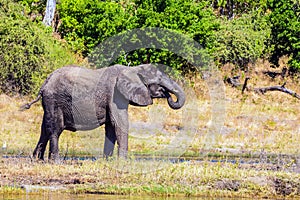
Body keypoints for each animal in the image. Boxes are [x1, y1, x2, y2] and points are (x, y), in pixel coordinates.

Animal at [21, 64, 185, 161]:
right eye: (159, 80)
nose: (167, 94)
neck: (132, 69)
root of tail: (45, 83)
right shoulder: (115, 95)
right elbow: (119, 123)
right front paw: (122, 162)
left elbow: (111, 127)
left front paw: (107, 161)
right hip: (55, 100)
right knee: (55, 129)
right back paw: (55, 161)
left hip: (49, 102)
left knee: (45, 128)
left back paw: (37, 159)